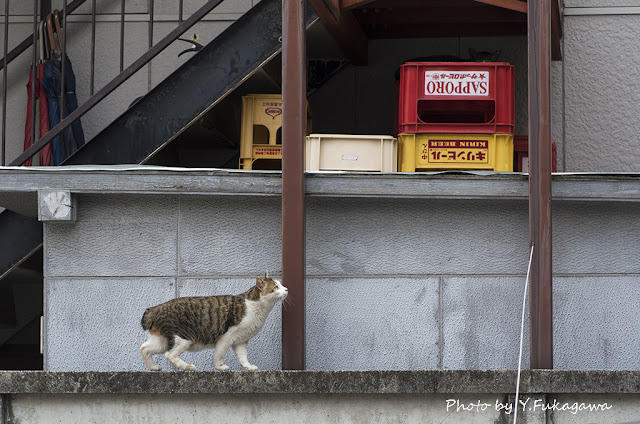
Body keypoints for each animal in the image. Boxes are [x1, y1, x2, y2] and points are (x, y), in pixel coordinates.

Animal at [143, 274, 290, 372]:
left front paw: (248, 367)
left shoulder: (241, 339)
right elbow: (220, 354)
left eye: (281, 284)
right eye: (276, 287)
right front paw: (220, 367)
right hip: (182, 338)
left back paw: (153, 367)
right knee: (170, 354)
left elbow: (242, 356)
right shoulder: (226, 337)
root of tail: (154, 309)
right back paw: (187, 367)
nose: (287, 289)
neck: (258, 308)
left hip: (162, 341)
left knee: (144, 348)